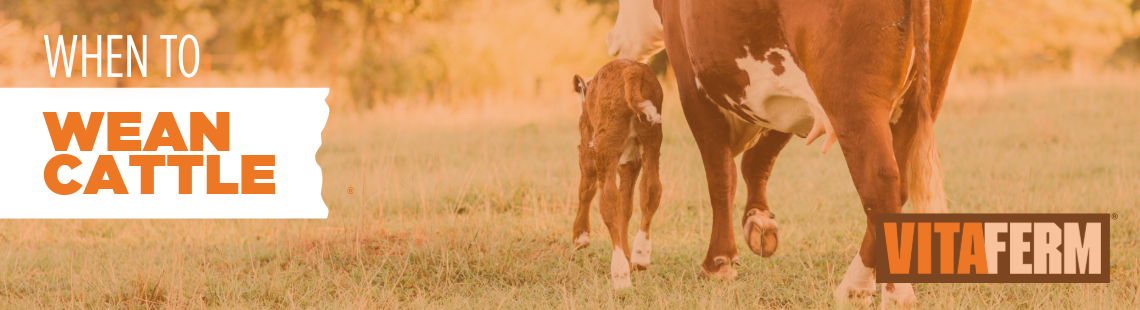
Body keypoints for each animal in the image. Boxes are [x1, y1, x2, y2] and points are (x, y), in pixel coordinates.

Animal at [574, 58, 665, 290]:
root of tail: (632, 69)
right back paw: (640, 255)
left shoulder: (587, 149)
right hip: (652, 137)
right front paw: (628, 255)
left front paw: (580, 236)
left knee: (606, 200)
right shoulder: (631, 162)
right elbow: (625, 206)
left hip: (604, 145)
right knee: (651, 190)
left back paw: (620, 274)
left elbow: (586, 190)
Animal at [606, 0, 971, 305]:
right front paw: (759, 223)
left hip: (852, 97)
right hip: (926, 88)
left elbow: (720, 174)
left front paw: (718, 262)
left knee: (879, 180)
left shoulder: (690, 79)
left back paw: (884, 292)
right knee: (900, 183)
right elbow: (759, 156)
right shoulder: (786, 97)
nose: (612, 41)